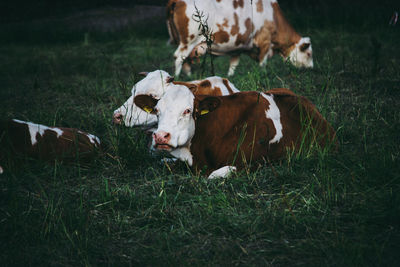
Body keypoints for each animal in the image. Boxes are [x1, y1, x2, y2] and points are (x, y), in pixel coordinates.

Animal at [135, 85, 338, 179]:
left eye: (187, 110)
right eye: (157, 110)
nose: (161, 136)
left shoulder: (249, 163)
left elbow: (213, 176)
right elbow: (164, 162)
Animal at [167, 0, 314, 76]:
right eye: (308, 53)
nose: (311, 68)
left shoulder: (237, 47)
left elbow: (233, 65)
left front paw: (229, 77)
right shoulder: (265, 42)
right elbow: (263, 63)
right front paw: (263, 75)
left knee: (185, 59)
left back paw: (189, 77)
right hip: (189, 40)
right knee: (178, 57)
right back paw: (178, 78)